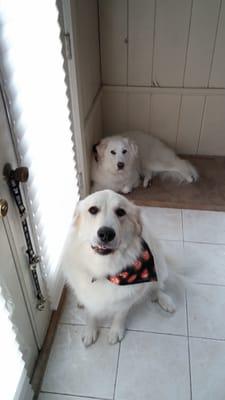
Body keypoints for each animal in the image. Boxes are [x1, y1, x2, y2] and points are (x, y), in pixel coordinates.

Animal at [62, 189, 178, 346]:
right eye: (93, 210)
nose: (106, 233)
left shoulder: (127, 298)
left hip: (159, 264)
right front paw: (90, 330)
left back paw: (164, 300)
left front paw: (116, 331)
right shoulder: (89, 295)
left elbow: (120, 314)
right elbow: (90, 313)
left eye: (121, 212)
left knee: (157, 286)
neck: (104, 269)